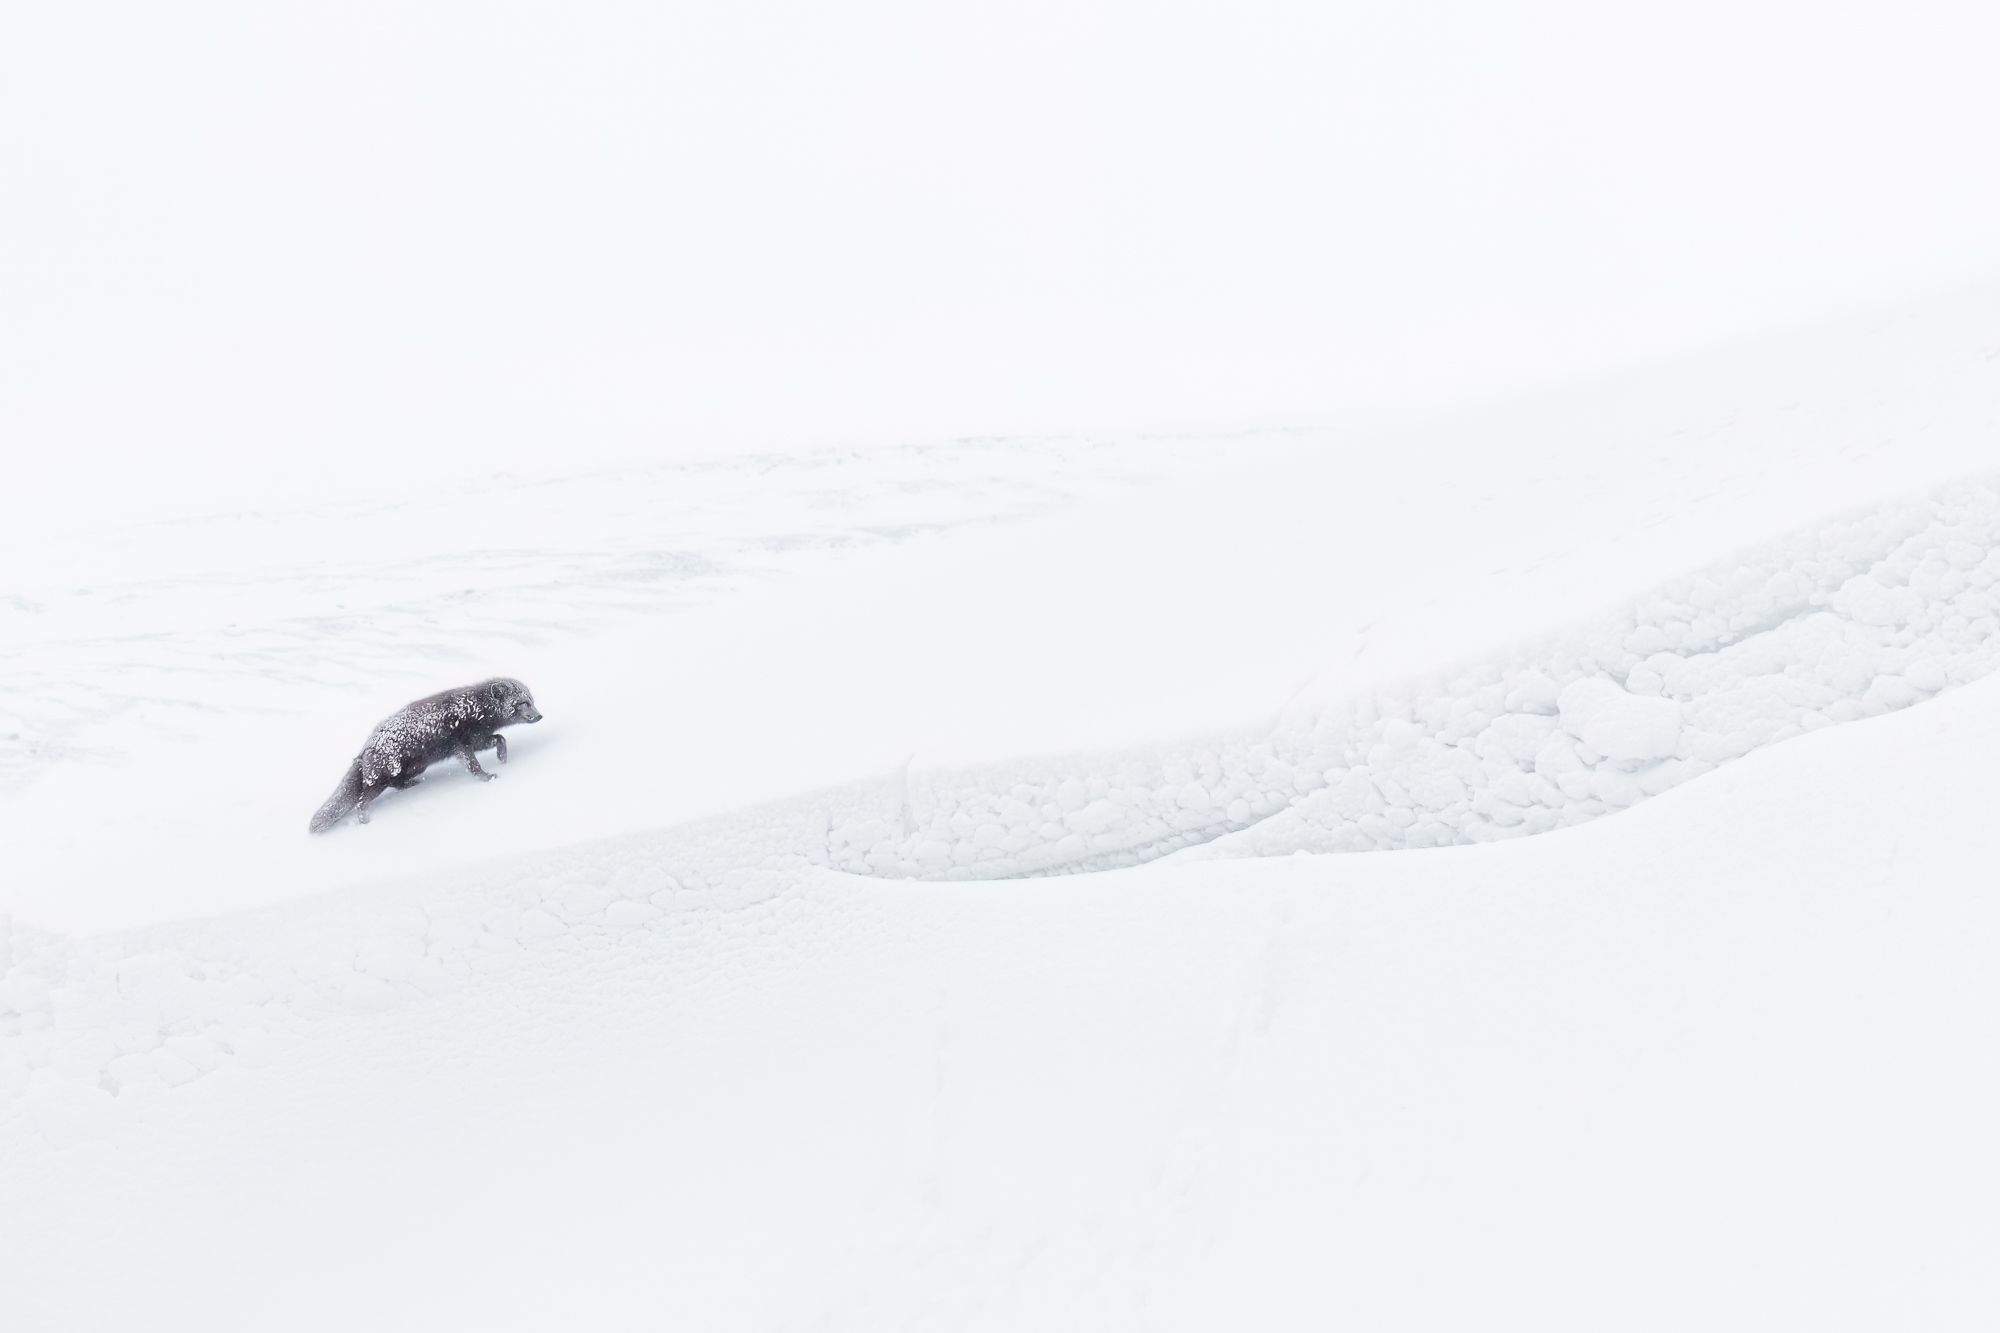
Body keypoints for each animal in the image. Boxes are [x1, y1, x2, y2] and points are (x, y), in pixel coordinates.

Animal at [310, 678, 543, 832]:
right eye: (523, 703)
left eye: (532, 700)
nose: (540, 716)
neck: (476, 709)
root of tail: (366, 747)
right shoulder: (463, 746)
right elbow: (474, 766)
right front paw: (487, 777)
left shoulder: (478, 740)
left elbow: (500, 739)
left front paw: (503, 758)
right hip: (381, 778)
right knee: (361, 800)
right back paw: (365, 820)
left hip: (415, 767)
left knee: (396, 784)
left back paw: (413, 785)